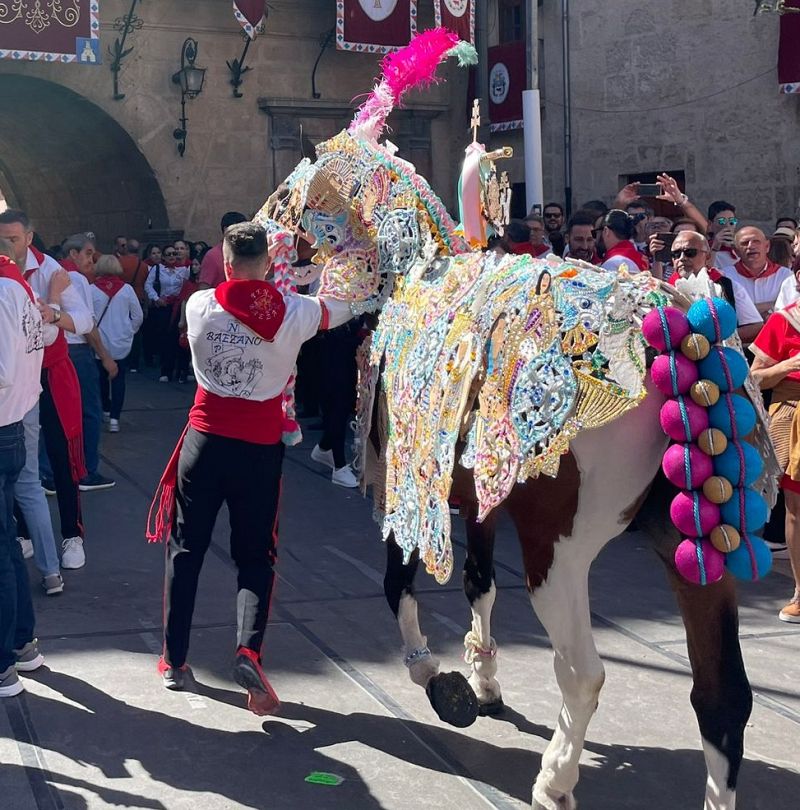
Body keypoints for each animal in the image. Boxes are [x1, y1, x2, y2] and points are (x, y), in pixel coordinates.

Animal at [258, 30, 780, 808]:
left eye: (295, 181)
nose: (246, 238)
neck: (413, 272)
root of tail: (676, 319)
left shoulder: (407, 487)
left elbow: (398, 583)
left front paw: (440, 679)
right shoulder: (478, 496)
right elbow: (478, 581)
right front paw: (482, 679)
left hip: (560, 550)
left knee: (584, 670)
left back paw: (555, 779)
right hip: (696, 547)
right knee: (722, 697)